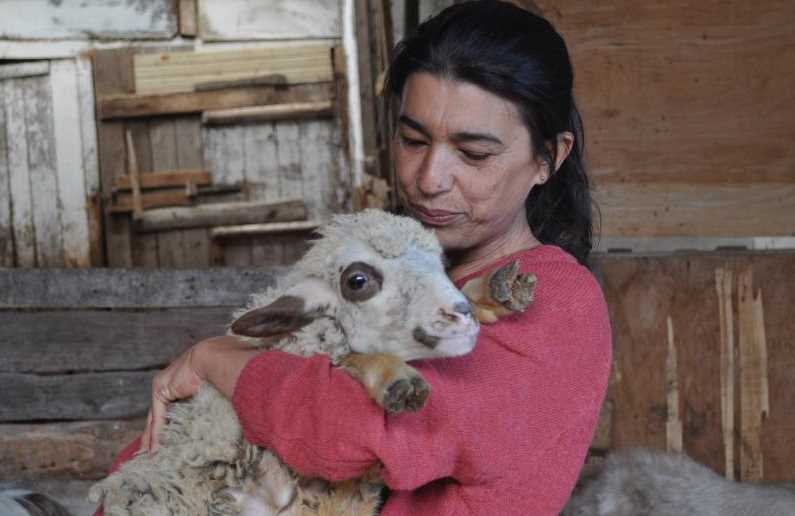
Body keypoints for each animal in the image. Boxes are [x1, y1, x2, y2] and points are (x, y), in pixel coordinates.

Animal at [88, 210, 536, 516]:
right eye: (357, 281)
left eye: (442, 264)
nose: (459, 315)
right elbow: (348, 357)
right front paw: (396, 380)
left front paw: (495, 290)